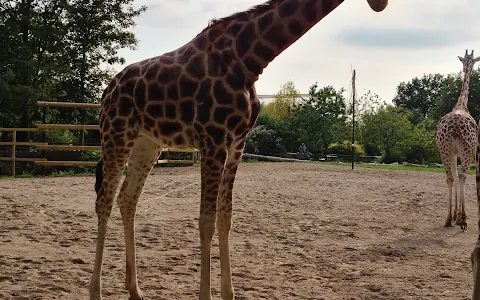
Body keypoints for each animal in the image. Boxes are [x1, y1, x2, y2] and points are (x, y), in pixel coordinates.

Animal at [90, 1, 388, 298]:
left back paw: (135, 290)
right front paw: (206, 295)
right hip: (116, 134)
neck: (250, 59)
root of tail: (106, 92)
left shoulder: (236, 144)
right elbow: (206, 220)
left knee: (127, 199)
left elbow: (225, 218)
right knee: (104, 201)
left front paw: (228, 293)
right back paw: (96, 291)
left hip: (147, 143)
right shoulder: (213, 140)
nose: (380, 6)